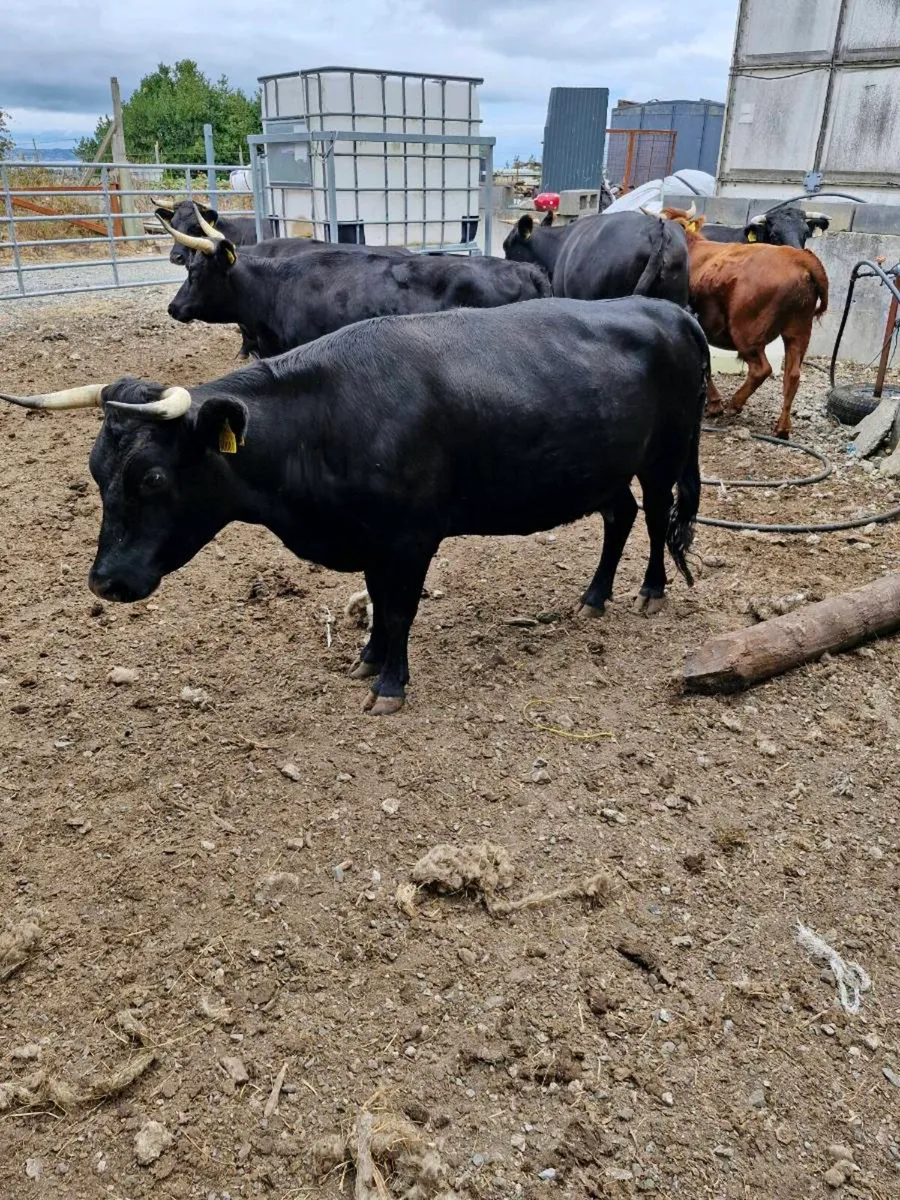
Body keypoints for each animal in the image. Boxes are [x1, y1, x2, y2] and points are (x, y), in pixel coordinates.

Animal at [0, 296, 709, 715]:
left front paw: (390, 685)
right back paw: (594, 597)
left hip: (666, 453)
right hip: (602, 465)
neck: (328, 418)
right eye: (96, 472)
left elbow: (398, 608)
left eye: (150, 477)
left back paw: (649, 591)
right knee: (618, 517)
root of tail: (670, 311)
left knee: (653, 518)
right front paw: (366, 658)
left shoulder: (412, 536)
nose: (105, 582)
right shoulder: (371, 537)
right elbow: (375, 600)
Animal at [660, 208, 828, 439]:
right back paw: (782, 428)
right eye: (774, 234)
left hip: (746, 332)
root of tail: (797, 258)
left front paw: (714, 404)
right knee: (792, 374)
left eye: (806, 233)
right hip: (799, 330)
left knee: (761, 369)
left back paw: (735, 403)